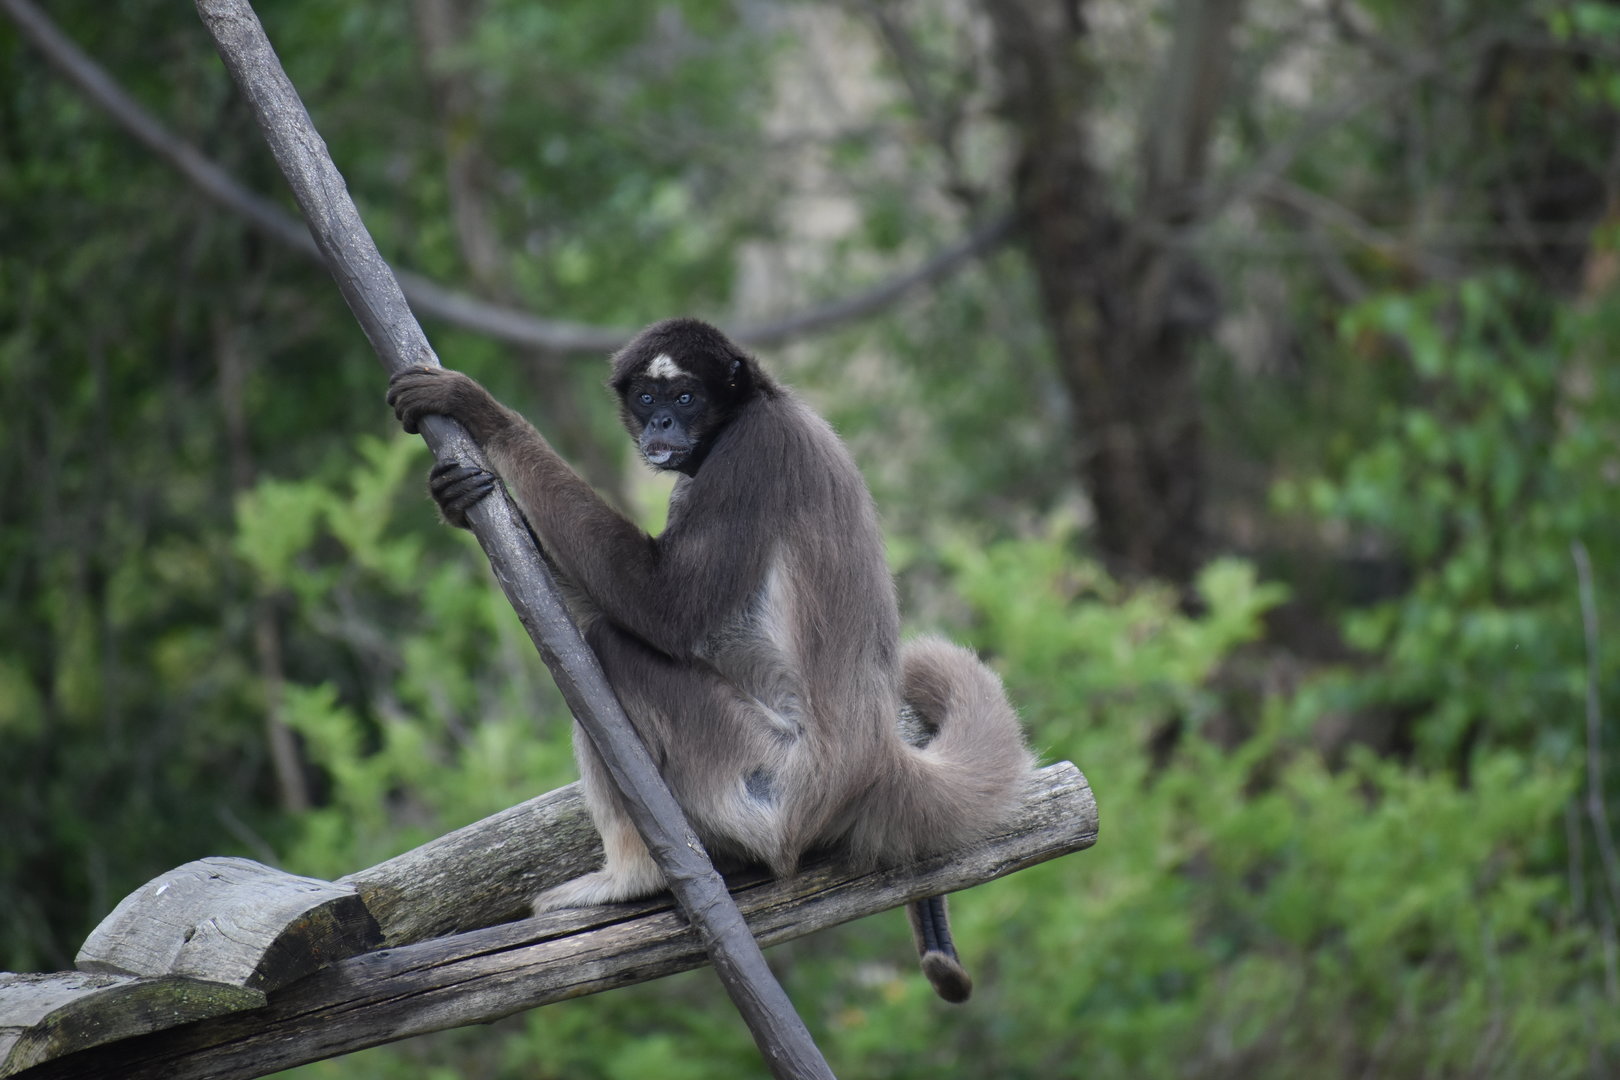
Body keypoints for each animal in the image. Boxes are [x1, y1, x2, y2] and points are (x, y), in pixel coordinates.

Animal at [387, 317, 1033, 1003]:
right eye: (647, 398)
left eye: (686, 397)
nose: (662, 425)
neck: (759, 403)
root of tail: (875, 760)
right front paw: (453, 498)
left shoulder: (751, 453)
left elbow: (660, 608)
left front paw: (485, 415)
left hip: (757, 775)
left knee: (609, 648)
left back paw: (634, 877)